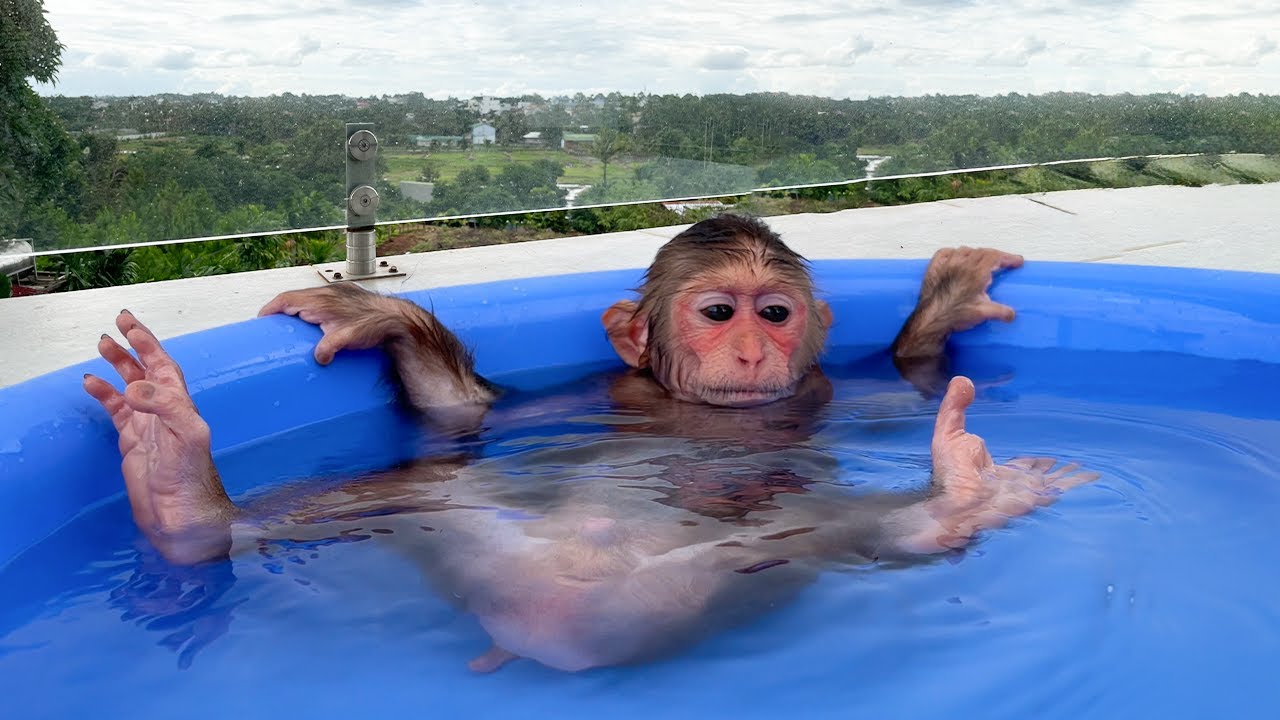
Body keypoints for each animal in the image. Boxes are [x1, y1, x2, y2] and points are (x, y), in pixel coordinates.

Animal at [83, 214, 1096, 672]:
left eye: (774, 312)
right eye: (719, 311)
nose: (752, 345)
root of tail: (530, 606)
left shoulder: (829, 391)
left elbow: (907, 383)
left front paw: (942, 311)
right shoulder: (582, 394)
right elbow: (467, 423)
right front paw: (390, 323)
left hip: (707, 582)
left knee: (821, 534)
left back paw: (957, 504)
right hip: (458, 524)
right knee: (412, 490)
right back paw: (179, 493)